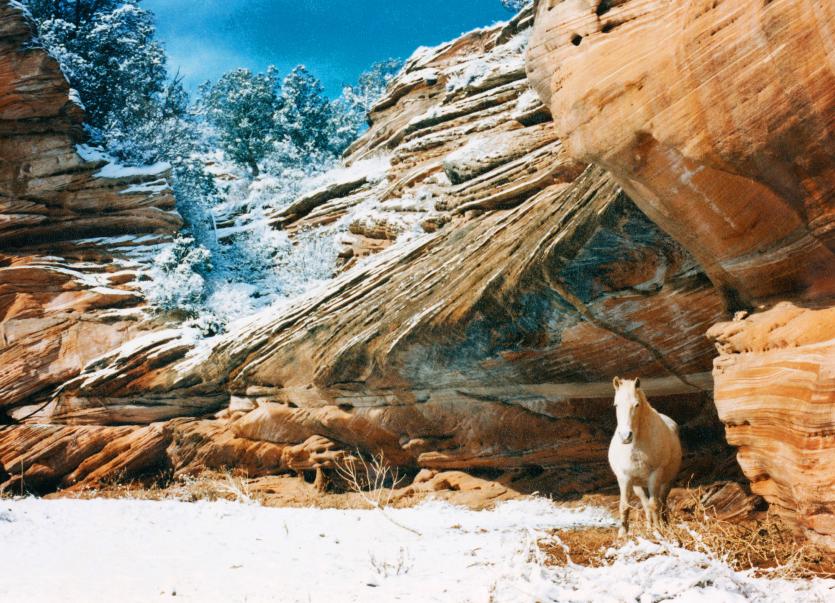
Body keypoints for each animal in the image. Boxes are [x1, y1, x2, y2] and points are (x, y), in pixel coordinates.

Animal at [608, 377, 682, 537]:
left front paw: (658, 530)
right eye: (616, 404)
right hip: (638, 485)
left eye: (636, 405)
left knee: (661, 503)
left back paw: (663, 525)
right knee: (646, 504)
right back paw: (649, 527)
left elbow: (655, 505)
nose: (625, 436)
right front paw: (622, 534)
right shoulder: (625, 478)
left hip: (666, 482)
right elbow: (624, 506)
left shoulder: (655, 475)